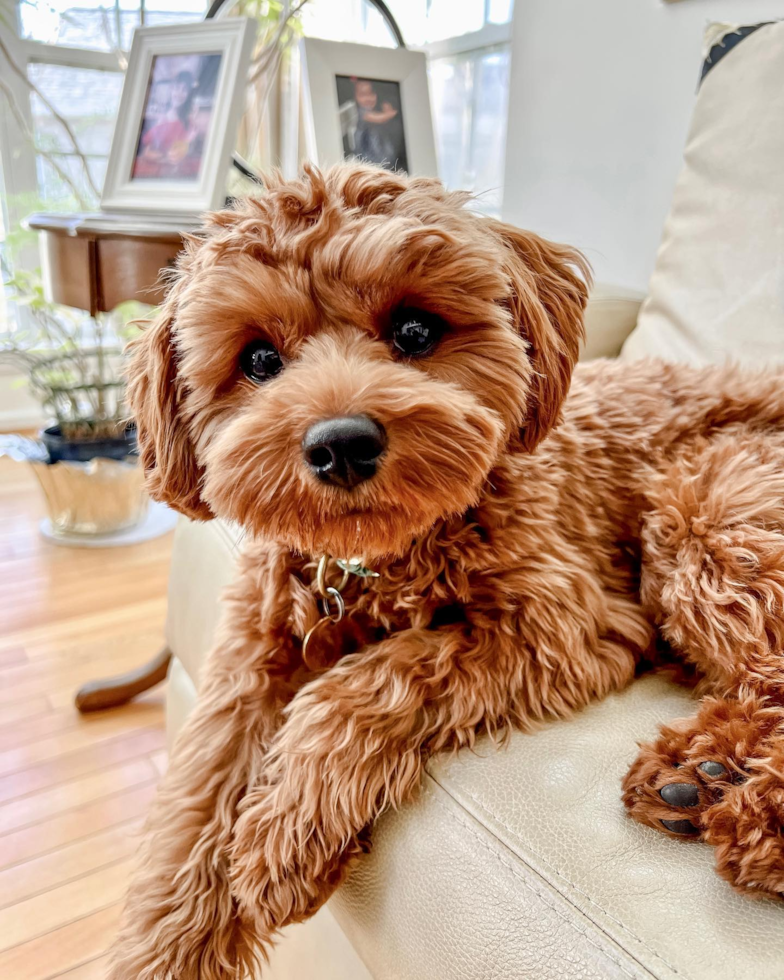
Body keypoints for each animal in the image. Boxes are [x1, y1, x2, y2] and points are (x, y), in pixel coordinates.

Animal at [108, 165, 784, 976]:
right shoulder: (246, 669)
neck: (372, 564)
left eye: (414, 332)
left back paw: (752, 805)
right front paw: (170, 939)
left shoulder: (568, 623)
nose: (341, 444)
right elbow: (192, 815)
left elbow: (361, 683)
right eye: (259, 361)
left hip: (706, 514)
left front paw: (282, 828)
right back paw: (699, 774)